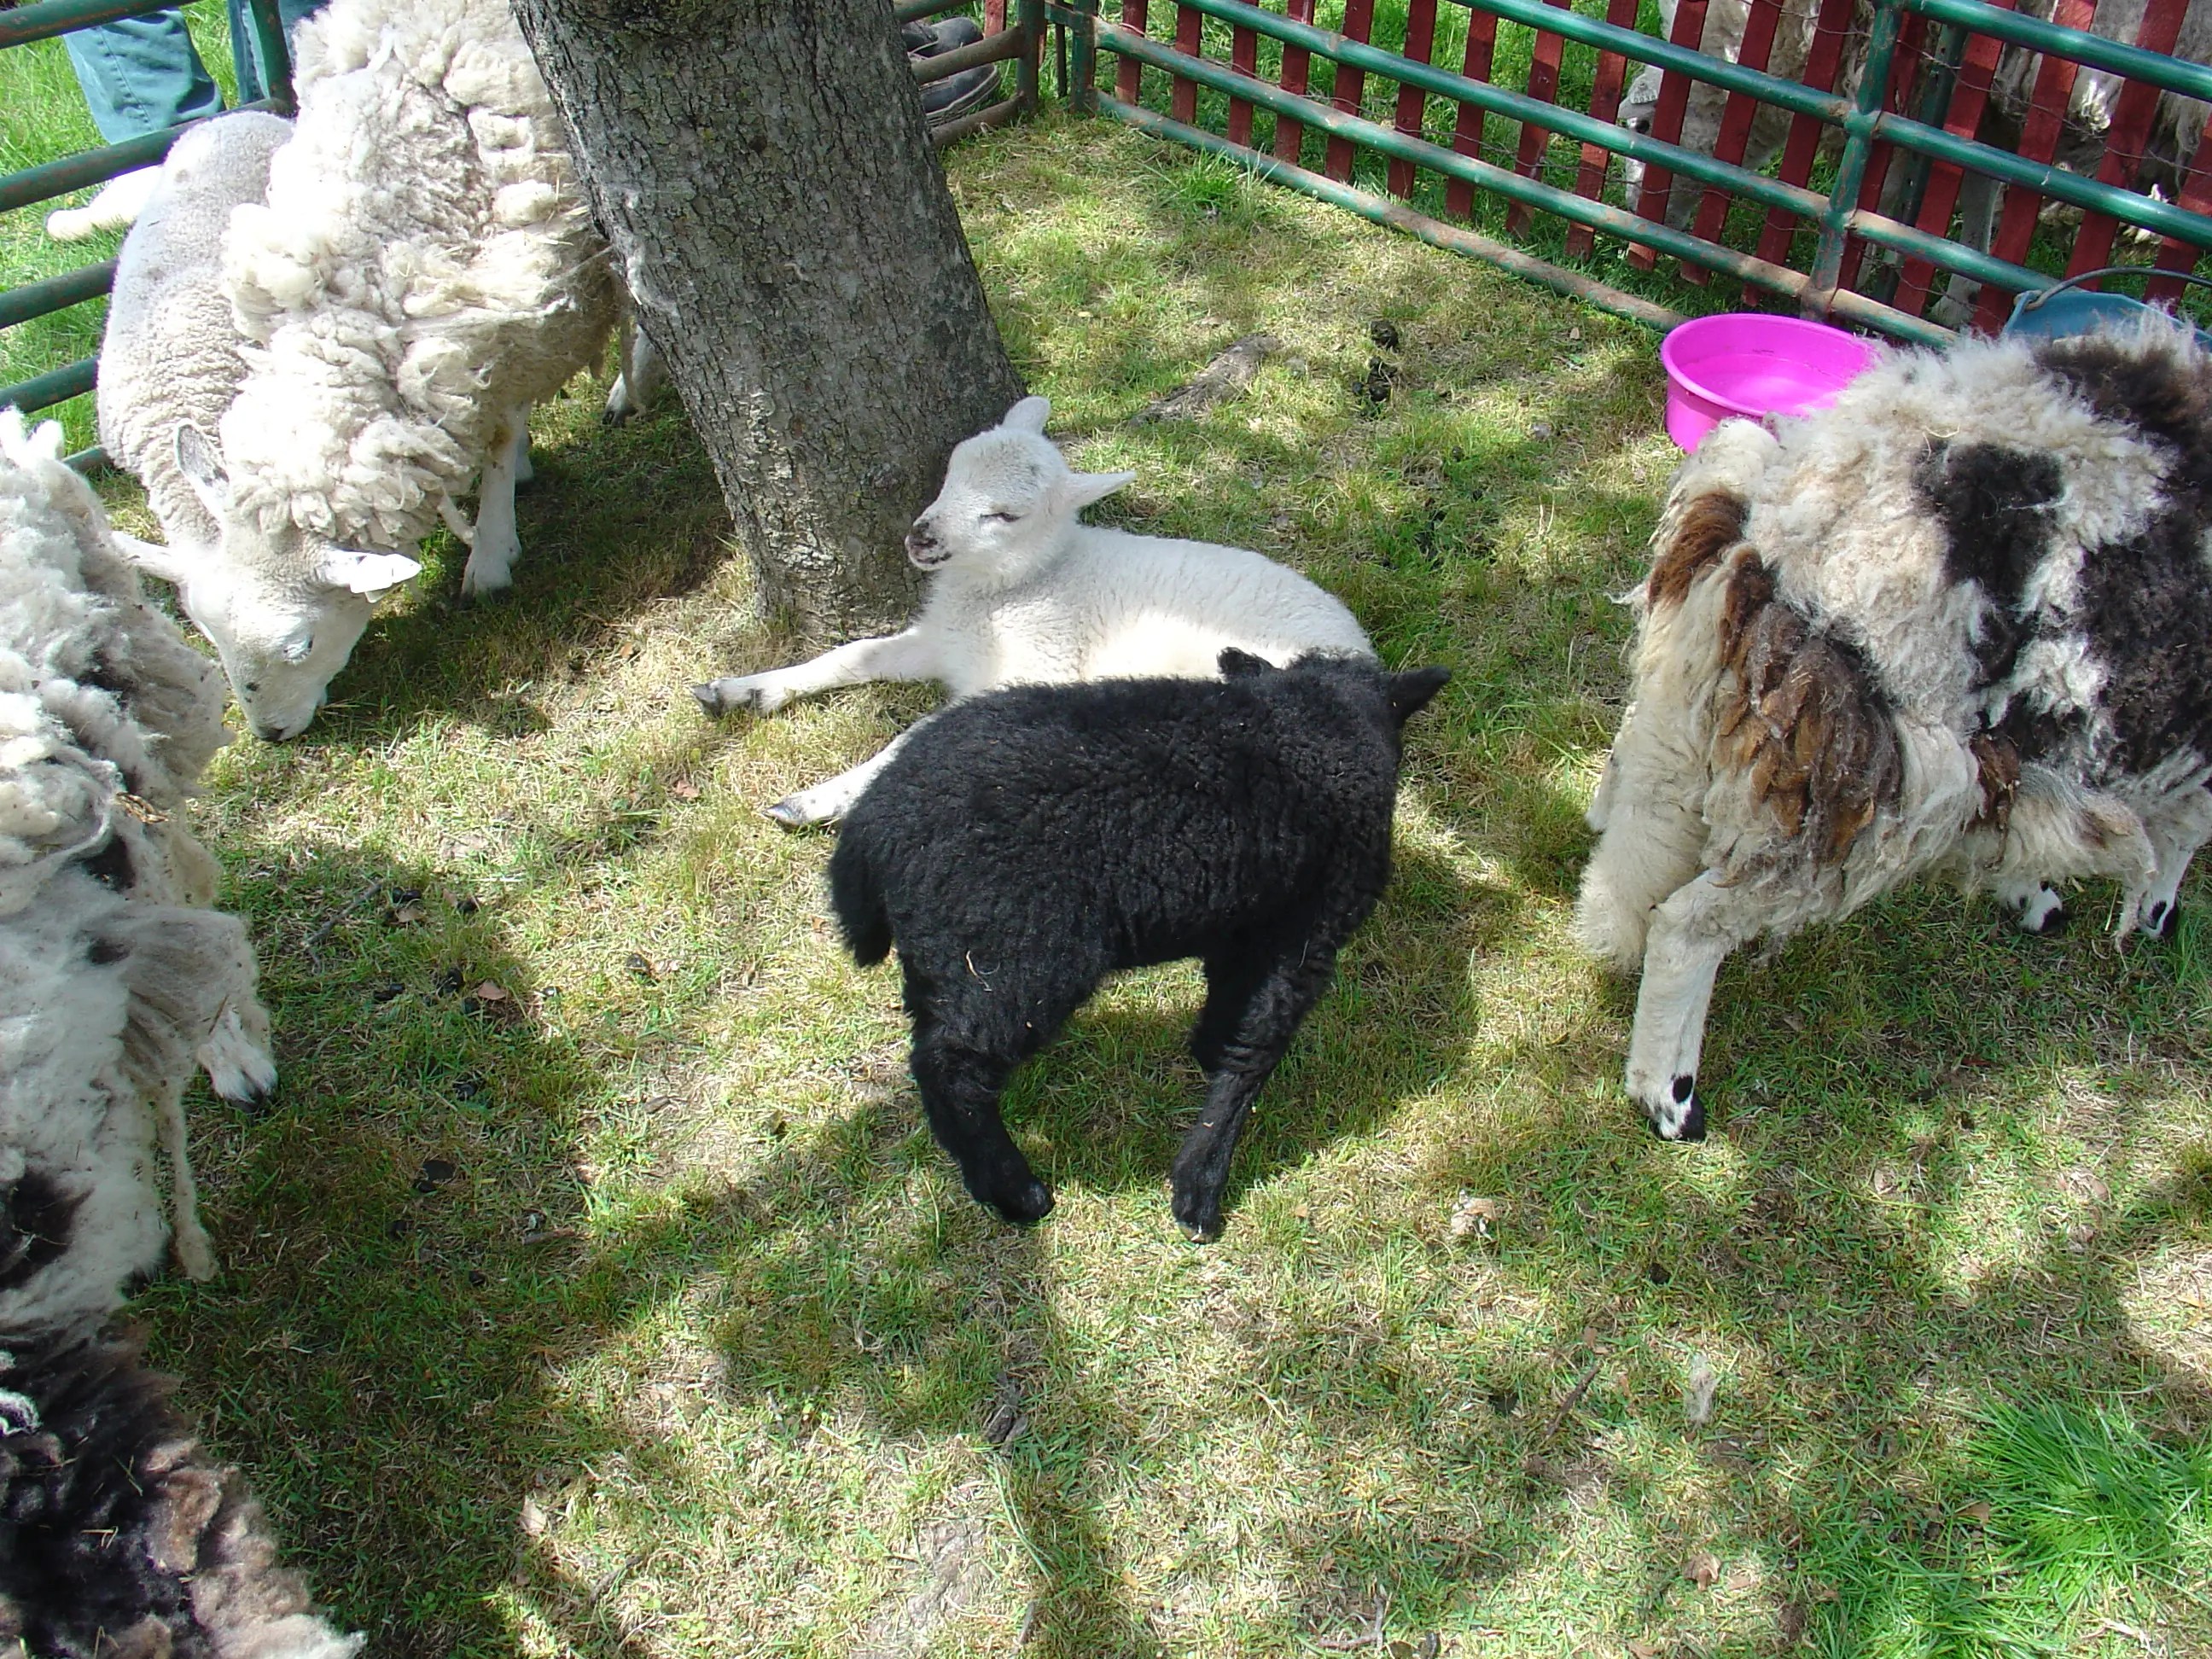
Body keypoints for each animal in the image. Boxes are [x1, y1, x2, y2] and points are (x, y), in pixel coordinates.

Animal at [99, 0, 630, 741]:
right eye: (205, 633)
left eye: (301, 643)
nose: (270, 736)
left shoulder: (514, 309)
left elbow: (498, 435)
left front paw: (491, 552)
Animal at [694, 395, 1377, 827]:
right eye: (951, 467)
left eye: (1006, 515)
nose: (922, 538)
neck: (1018, 584)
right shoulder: (944, 641)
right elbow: (851, 655)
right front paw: (740, 692)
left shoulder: (1031, 663)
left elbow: (918, 735)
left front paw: (814, 801)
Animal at [828, 649, 1450, 1238]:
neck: (1313, 726)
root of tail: (872, 827)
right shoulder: (1308, 933)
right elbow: (1256, 1049)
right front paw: (1199, 1189)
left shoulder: (1246, 924)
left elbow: (1230, 1008)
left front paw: (1206, 1054)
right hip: (1012, 956)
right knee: (952, 1067)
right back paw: (1017, 1193)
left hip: (942, 954)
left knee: (929, 1051)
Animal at [1576, 317, 2212, 1141]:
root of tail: (1775, 528)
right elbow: (2185, 830)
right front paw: (2152, 913)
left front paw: (2034, 894)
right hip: (1860, 774)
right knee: (1690, 926)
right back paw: (1670, 1097)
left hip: (1707, 695)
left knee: (1634, 771)